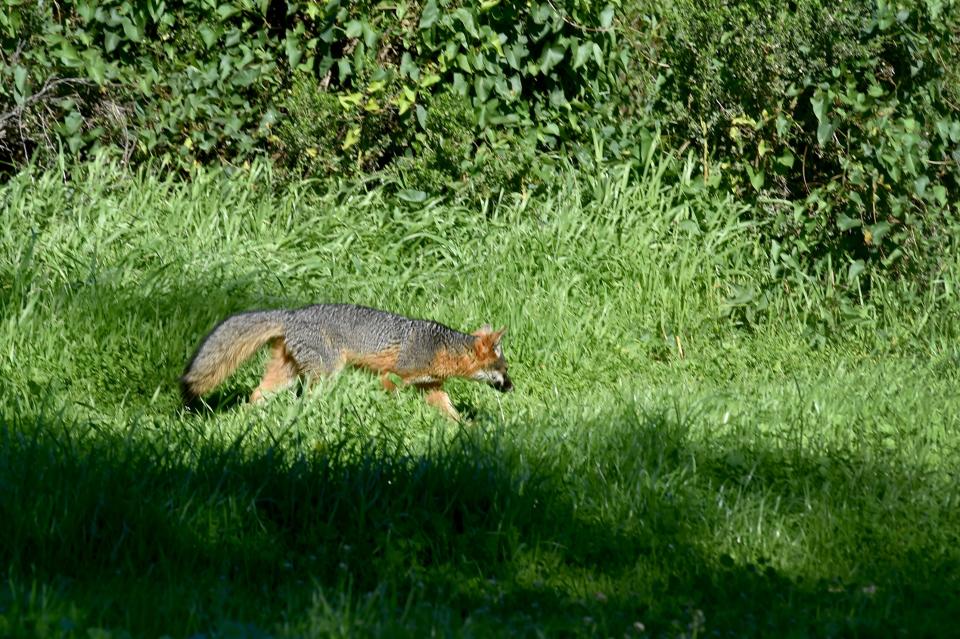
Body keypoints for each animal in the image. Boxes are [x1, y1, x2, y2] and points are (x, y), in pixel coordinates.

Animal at [180, 304, 510, 420]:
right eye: (503, 370)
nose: (512, 387)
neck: (440, 347)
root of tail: (293, 313)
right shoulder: (391, 376)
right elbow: (389, 395)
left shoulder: (431, 388)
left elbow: (451, 414)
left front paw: (467, 430)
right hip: (326, 373)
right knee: (306, 399)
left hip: (286, 376)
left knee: (255, 394)